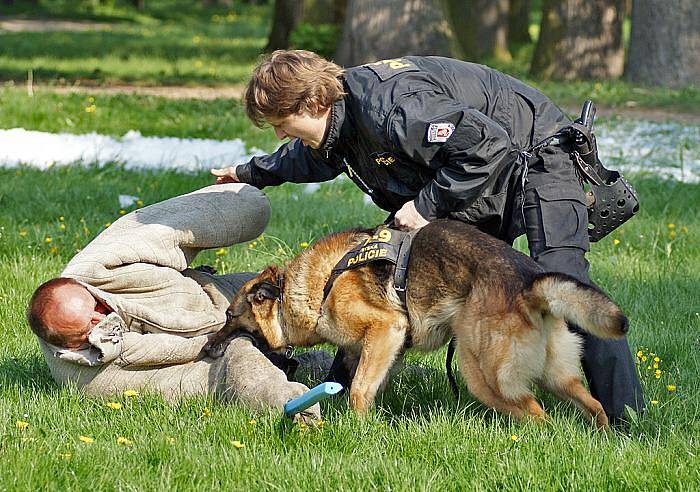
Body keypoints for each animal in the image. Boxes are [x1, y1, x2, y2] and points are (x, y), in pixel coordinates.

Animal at [205, 219, 628, 426]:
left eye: (228, 316)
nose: (206, 348)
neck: (313, 286)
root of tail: (529, 283)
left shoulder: (386, 330)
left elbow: (358, 390)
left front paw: (361, 429)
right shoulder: (382, 349)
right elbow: (366, 384)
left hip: (484, 375)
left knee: (537, 414)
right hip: (559, 375)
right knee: (594, 406)